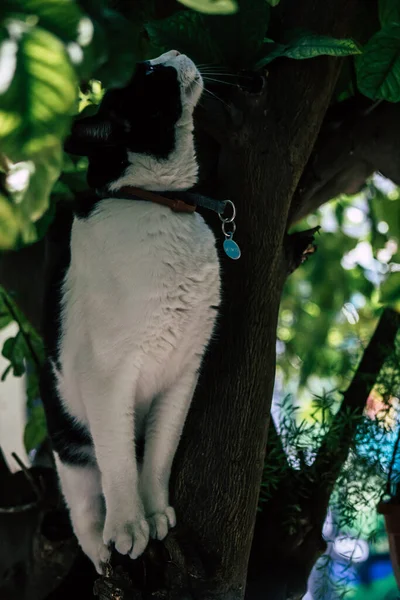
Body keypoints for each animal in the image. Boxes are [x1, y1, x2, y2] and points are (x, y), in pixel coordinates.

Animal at [40, 49, 220, 576]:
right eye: (151, 75)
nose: (172, 52)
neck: (159, 205)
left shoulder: (184, 370)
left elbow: (158, 454)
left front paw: (155, 512)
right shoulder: (106, 376)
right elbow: (119, 462)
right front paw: (127, 527)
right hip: (68, 437)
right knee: (84, 502)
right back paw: (102, 549)